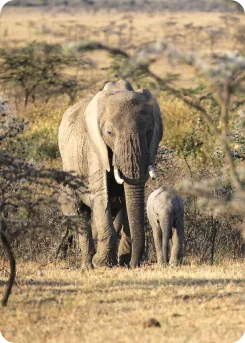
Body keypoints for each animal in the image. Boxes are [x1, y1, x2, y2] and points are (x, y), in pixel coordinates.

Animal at [58, 80, 163, 268]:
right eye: (109, 132)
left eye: (150, 131)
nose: (133, 264)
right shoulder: (94, 147)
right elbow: (101, 196)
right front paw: (103, 263)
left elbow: (127, 198)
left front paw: (122, 260)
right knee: (80, 212)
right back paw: (88, 265)